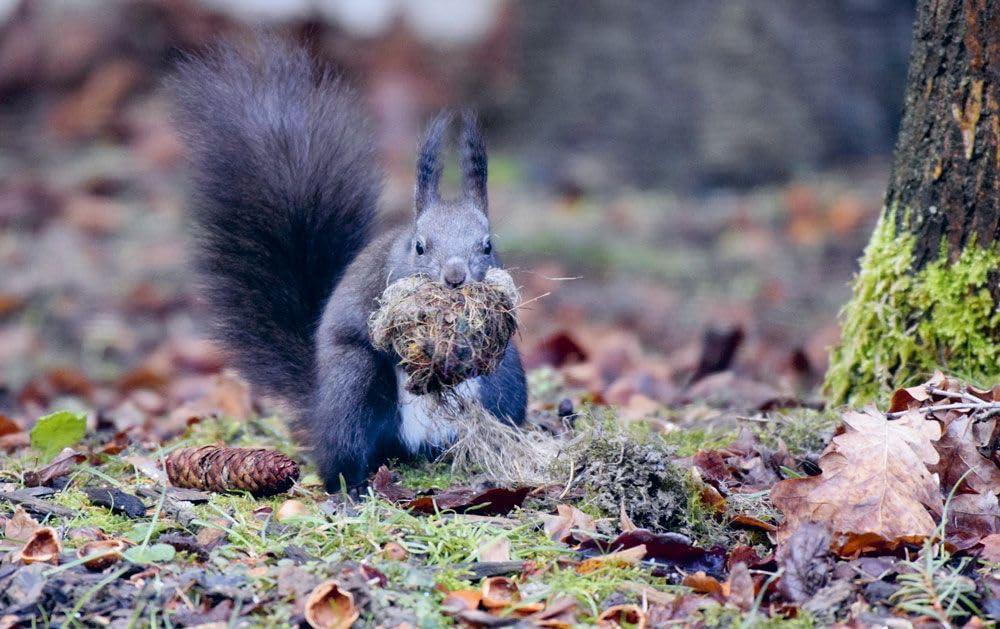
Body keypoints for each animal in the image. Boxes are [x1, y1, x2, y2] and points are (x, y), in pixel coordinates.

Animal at [171, 38, 527, 491]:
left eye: (487, 245)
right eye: (419, 246)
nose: (454, 277)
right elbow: (386, 336)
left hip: (505, 387)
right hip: (352, 384)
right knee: (344, 448)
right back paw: (352, 486)